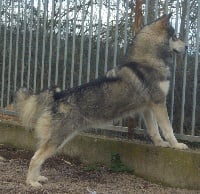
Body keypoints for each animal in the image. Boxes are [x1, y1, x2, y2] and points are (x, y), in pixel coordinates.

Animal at [15, 12, 188, 187]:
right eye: (175, 36)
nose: (187, 46)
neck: (147, 60)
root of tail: (58, 95)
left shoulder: (147, 108)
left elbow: (154, 131)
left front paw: (160, 144)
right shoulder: (159, 103)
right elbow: (168, 129)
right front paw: (176, 145)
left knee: (38, 156)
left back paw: (37, 178)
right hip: (58, 139)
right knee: (35, 158)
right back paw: (31, 182)